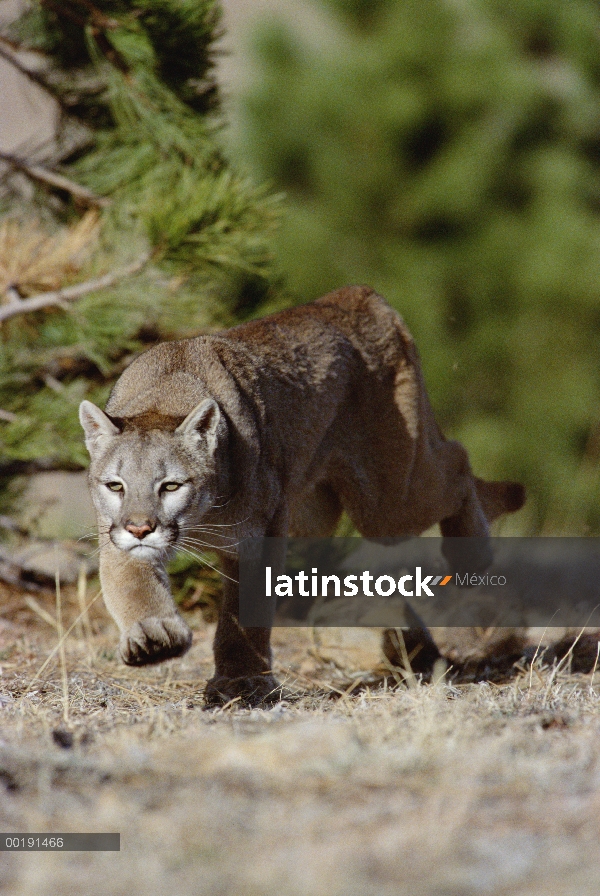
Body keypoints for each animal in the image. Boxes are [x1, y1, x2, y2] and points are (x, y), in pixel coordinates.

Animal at [81, 286, 524, 700]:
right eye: (116, 486)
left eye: (171, 485)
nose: (140, 528)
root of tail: (352, 295)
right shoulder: (116, 533)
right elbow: (132, 582)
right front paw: (155, 637)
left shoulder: (260, 535)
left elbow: (246, 612)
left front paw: (240, 680)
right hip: (316, 516)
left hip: (385, 504)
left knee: (458, 461)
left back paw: (471, 553)